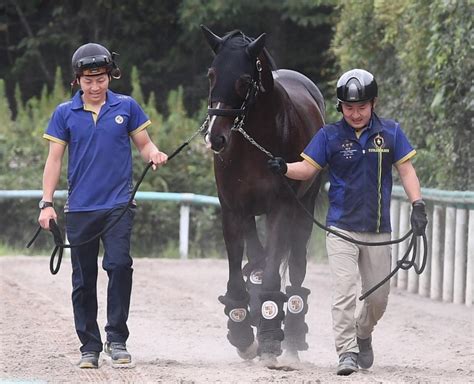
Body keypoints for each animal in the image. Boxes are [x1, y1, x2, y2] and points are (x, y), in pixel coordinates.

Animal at [200, 25, 326, 364]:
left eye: (244, 80)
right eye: (211, 74)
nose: (216, 137)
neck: (251, 144)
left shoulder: (280, 209)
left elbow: (272, 269)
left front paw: (269, 335)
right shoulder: (234, 210)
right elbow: (240, 265)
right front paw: (242, 328)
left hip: (304, 207)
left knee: (294, 263)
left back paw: (293, 332)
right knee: (258, 257)